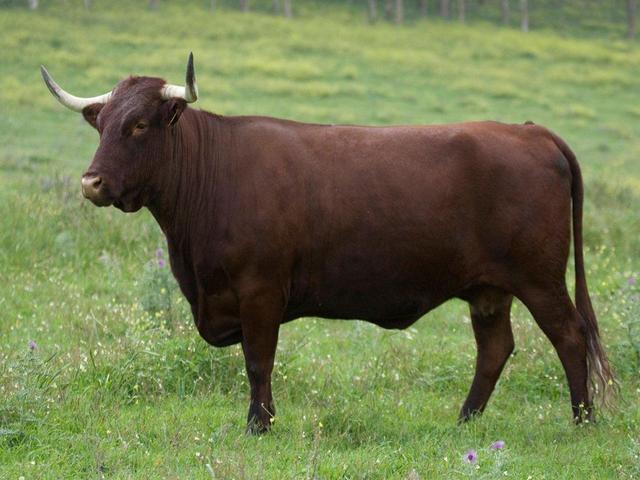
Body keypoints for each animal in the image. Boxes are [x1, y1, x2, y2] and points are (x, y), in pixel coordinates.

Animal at [41, 54, 615, 433]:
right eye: (101, 125)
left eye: (139, 125)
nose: (92, 183)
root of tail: (530, 130)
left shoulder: (260, 291)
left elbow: (258, 361)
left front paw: (258, 426)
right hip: (489, 289)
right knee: (495, 349)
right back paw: (464, 422)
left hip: (539, 277)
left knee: (569, 335)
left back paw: (582, 422)